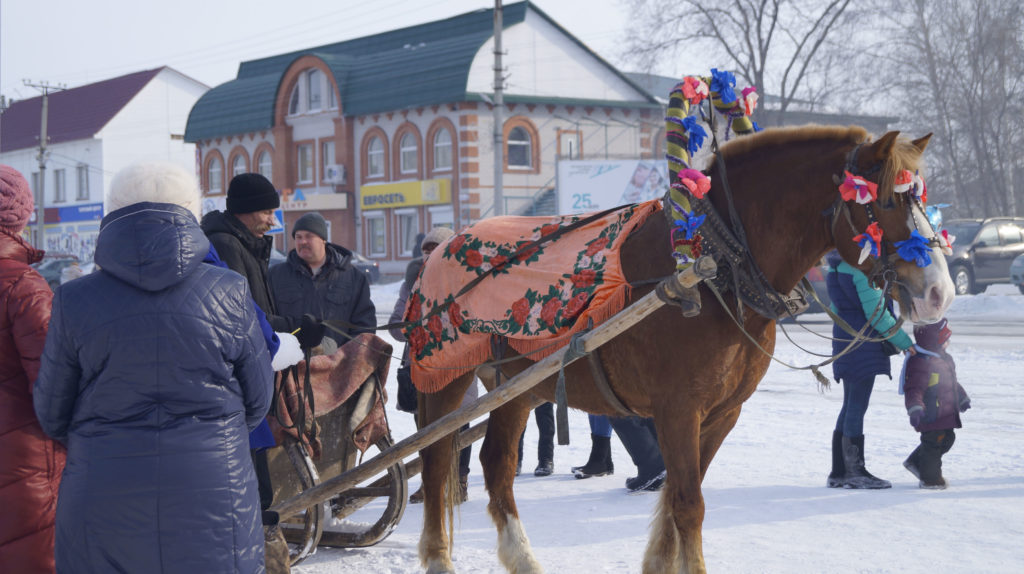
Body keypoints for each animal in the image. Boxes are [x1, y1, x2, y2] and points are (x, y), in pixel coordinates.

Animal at [413, 123, 950, 568]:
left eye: (921, 198)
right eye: (886, 202)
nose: (939, 292)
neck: (715, 266)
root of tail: (446, 245)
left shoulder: (721, 412)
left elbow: (675, 501)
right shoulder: (677, 409)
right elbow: (689, 505)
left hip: (518, 383)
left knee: (496, 464)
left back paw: (522, 558)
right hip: (446, 374)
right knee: (436, 460)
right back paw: (438, 557)